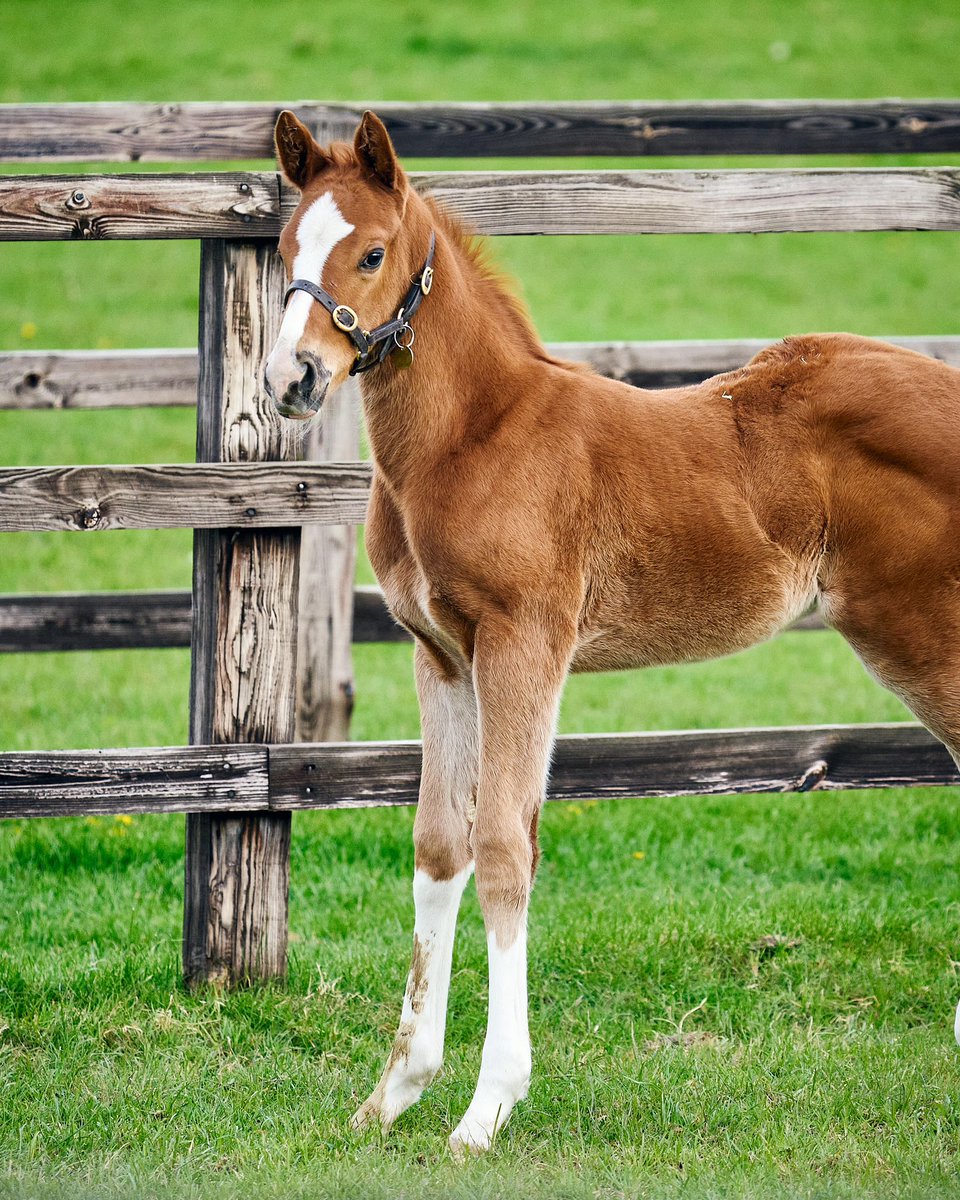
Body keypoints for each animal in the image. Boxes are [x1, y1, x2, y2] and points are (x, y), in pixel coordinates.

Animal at [262, 112, 960, 1152]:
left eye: (372, 252)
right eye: (281, 251)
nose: (293, 377)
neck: (474, 438)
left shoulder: (524, 646)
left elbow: (506, 849)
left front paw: (486, 1107)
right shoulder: (443, 658)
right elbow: (440, 847)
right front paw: (394, 1093)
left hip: (918, 628)